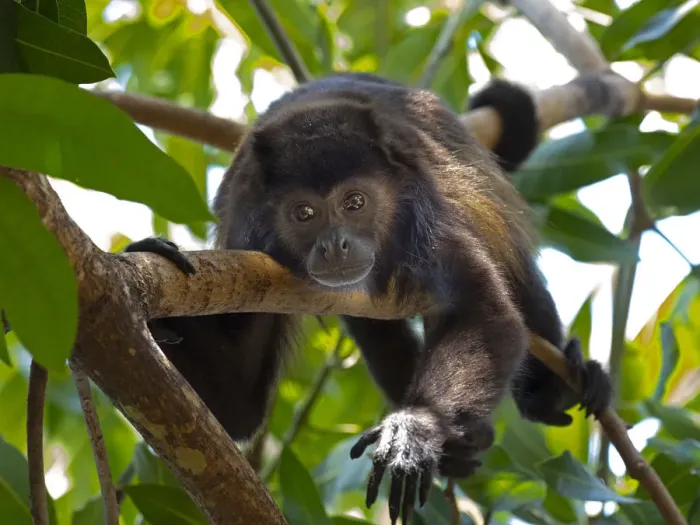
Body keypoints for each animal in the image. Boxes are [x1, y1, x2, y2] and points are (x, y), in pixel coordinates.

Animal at [124, 72, 611, 524]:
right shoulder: (248, 239)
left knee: (519, 277)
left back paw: (555, 387)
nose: (335, 245)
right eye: (304, 213)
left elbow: (483, 311)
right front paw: (150, 284)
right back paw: (462, 446)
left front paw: (417, 427)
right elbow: (238, 405)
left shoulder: (426, 218)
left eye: (355, 202)